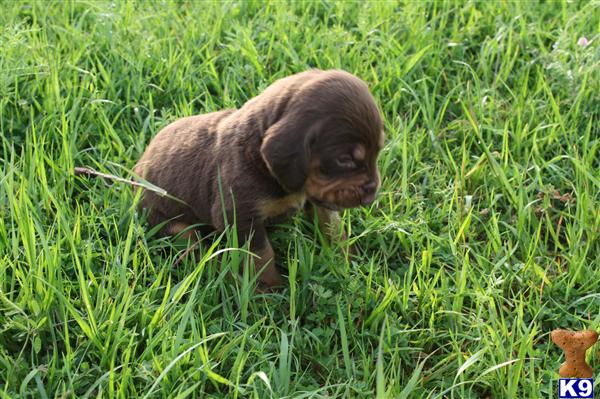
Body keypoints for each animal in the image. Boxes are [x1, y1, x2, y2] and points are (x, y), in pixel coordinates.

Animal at [135, 68, 384, 288]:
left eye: (378, 151)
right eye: (344, 160)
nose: (371, 194)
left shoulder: (318, 200)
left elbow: (333, 228)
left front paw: (348, 259)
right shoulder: (240, 216)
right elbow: (261, 255)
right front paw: (269, 290)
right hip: (172, 224)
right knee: (192, 245)